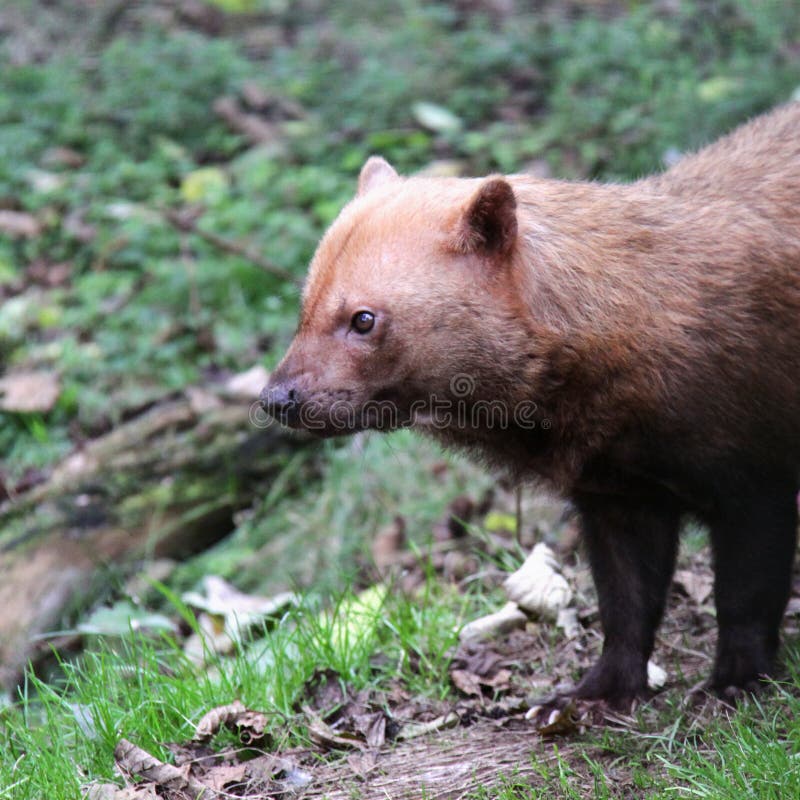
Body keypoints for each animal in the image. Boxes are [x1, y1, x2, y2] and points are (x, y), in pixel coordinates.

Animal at [262, 101, 800, 708]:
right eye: (305, 304)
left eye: (363, 318)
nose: (277, 398)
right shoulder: (618, 495)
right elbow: (626, 602)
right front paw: (594, 692)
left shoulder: (756, 472)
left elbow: (746, 594)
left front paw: (737, 680)